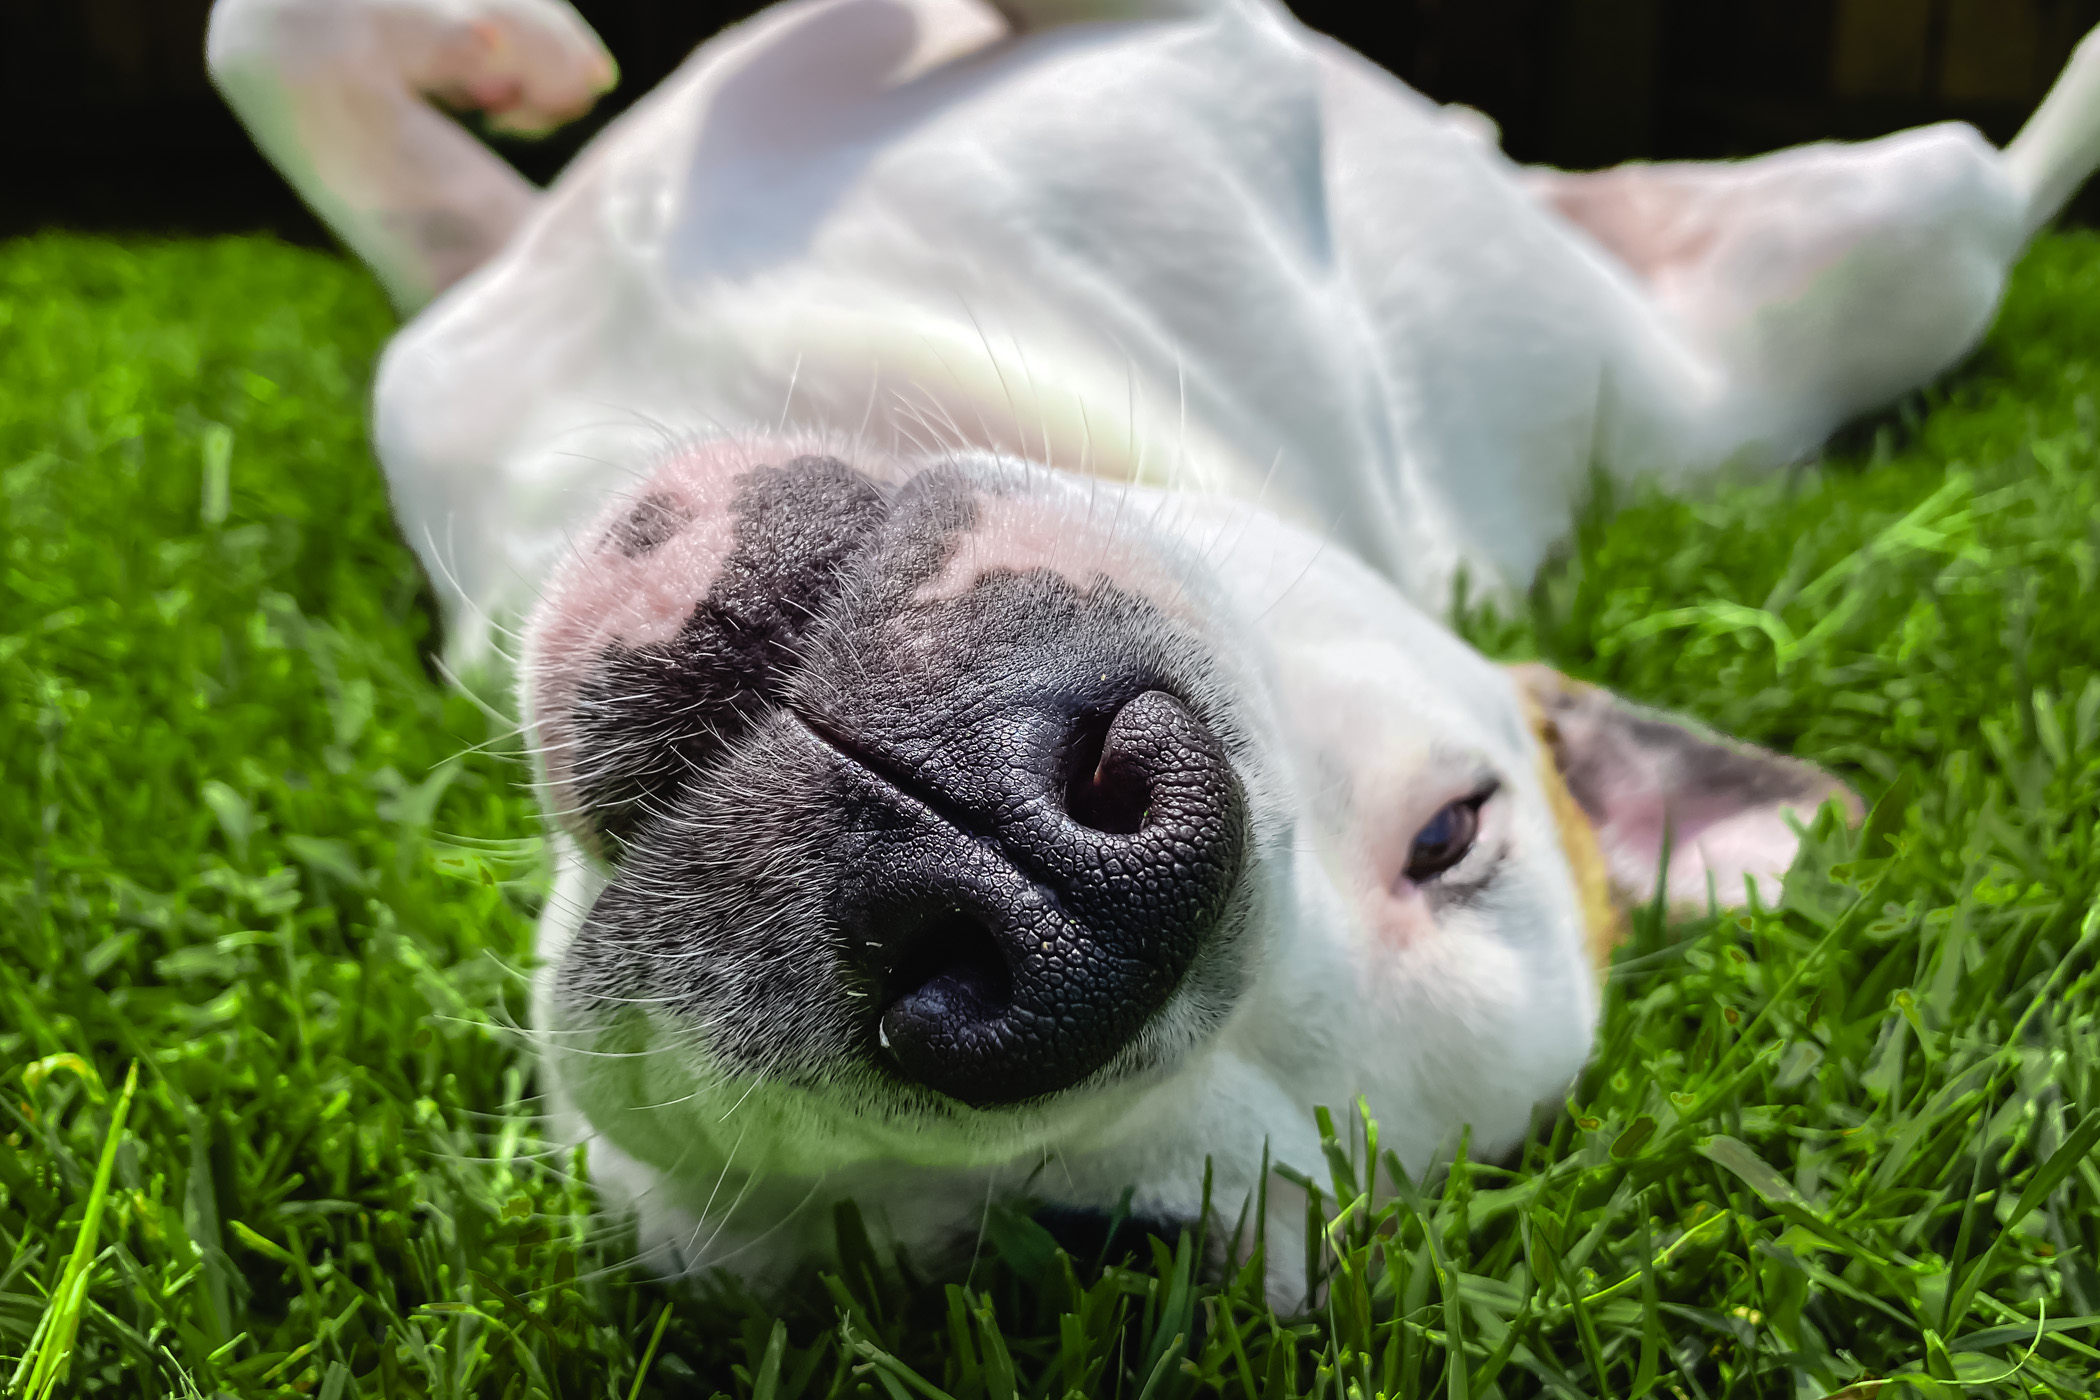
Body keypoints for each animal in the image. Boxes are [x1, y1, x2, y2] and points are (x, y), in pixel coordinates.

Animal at [208, 0, 2100, 1301]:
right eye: (1456, 830)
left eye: (1070, 1262)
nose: (1086, 905)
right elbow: (267, 54)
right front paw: (505, 57)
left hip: (1904, 248)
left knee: (2003, 189)